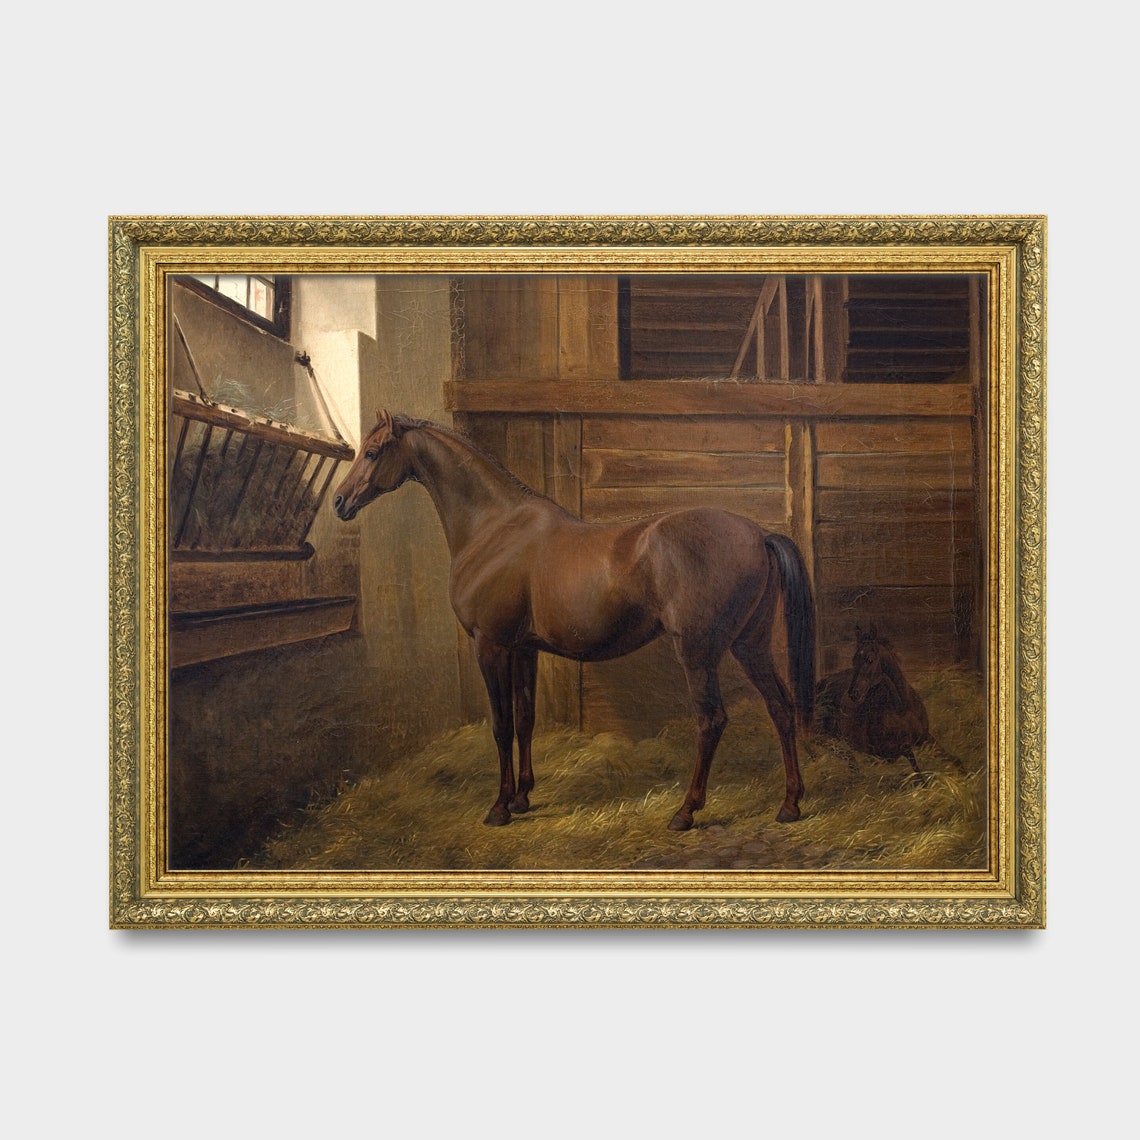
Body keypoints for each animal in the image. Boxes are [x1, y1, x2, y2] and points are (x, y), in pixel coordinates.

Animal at [333, 411, 816, 831]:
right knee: (781, 707)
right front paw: (522, 797)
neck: (495, 528)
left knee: (711, 720)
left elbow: (501, 725)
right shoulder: (524, 649)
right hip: (749, 646)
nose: (339, 502)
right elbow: (525, 718)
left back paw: (685, 812)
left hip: (698, 654)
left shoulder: (490, 646)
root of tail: (759, 534)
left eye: (372, 452)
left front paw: (499, 808)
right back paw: (789, 804)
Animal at [816, 625, 946, 777]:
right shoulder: (888, 753)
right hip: (822, 732)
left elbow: (954, 760)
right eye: (854, 660)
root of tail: (822, 683)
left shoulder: (926, 738)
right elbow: (916, 768)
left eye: (870, 659)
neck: (901, 708)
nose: (853, 694)